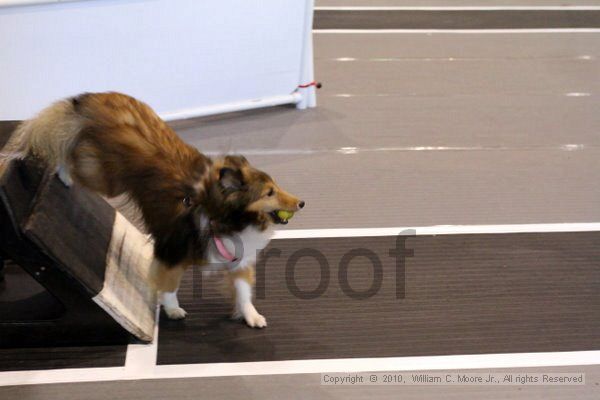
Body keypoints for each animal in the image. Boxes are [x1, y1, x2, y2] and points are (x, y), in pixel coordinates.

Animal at [2, 91, 304, 328]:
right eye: (269, 193)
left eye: (276, 186)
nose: (301, 203)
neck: (222, 214)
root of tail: (97, 98)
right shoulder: (171, 254)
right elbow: (169, 286)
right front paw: (173, 310)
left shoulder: (237, 261)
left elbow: (243, 292)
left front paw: (252, 317)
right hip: (105, 179)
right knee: (67, 151)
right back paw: (62, 173)